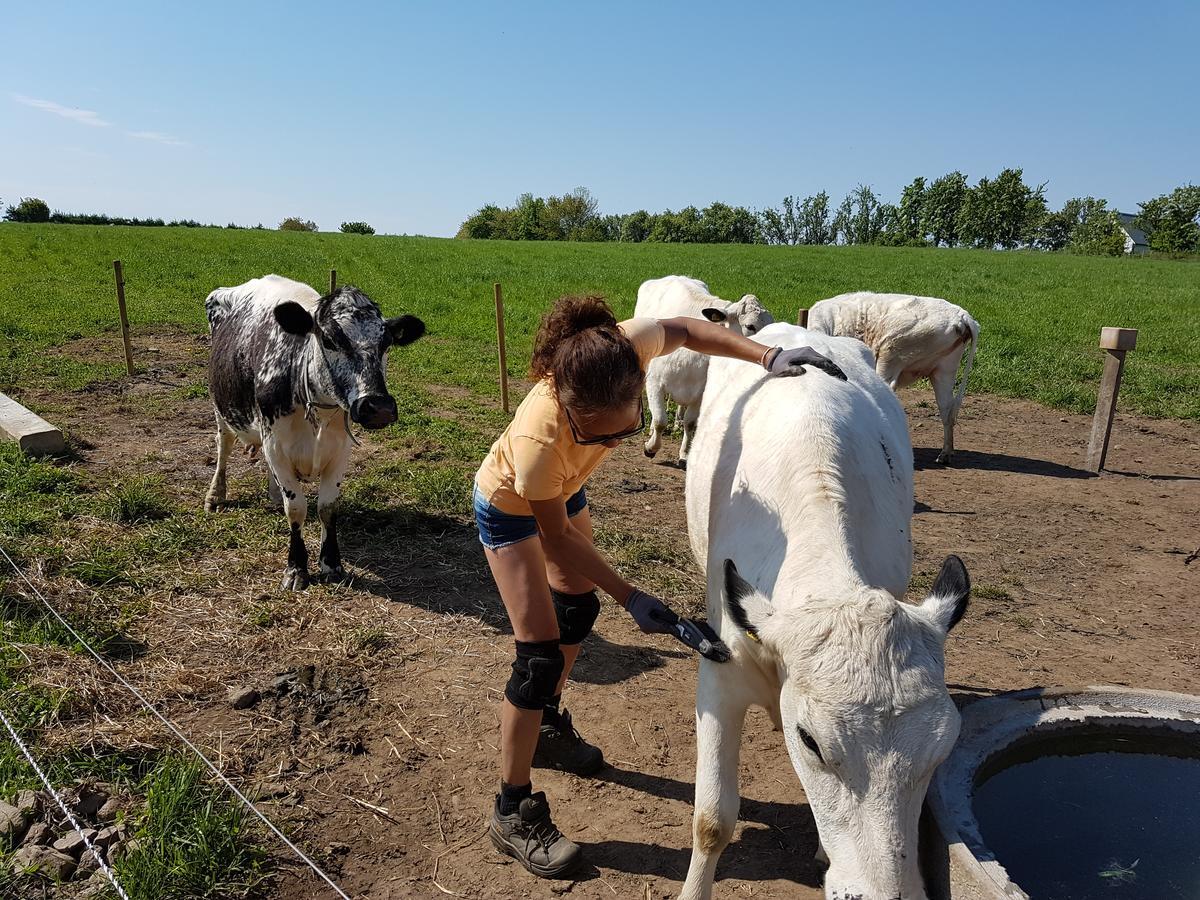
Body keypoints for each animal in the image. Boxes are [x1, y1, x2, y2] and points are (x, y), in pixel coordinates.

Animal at [206, 271, 427, 588]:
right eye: (329, 340)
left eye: (386, 343)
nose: (379, 407)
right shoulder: (275, 443)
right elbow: (297, 508)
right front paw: (296, 568)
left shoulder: (339, 451)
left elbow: (327, 507)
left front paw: (331, 563)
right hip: (220, 407)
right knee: (223, 446)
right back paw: (215, 495)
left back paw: (273, 495)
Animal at [633, 277, 772, 468]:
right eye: (750, 326)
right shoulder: (655, 382)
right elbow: (660, 420)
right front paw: (650, 448)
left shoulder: (700, 392)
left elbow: (691, 423)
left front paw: (684, 454)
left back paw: (677, 422)